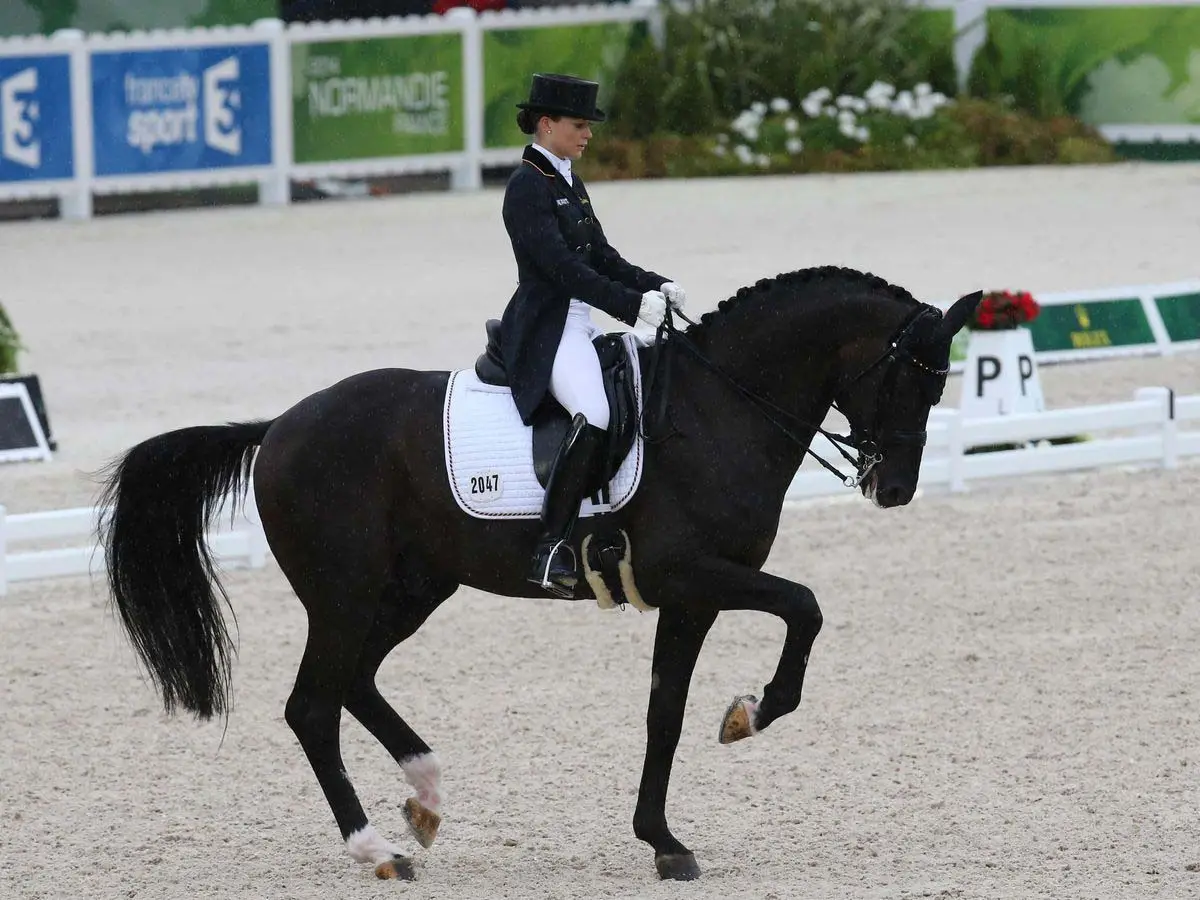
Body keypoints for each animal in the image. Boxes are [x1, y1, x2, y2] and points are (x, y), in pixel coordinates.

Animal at [97, 265, 981, 883]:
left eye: (943, 382)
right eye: (909, 377)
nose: (894, 489)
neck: (717, 408)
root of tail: (278, 426)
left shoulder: (690, 596)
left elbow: (664, 712)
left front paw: (664, 842)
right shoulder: (695, 574)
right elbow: (806, 607)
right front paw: (748, 715)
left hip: (413, 588)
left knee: (355, 684)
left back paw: (425, 798)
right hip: (344, 594)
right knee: (313, 705)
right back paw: (378, 850)